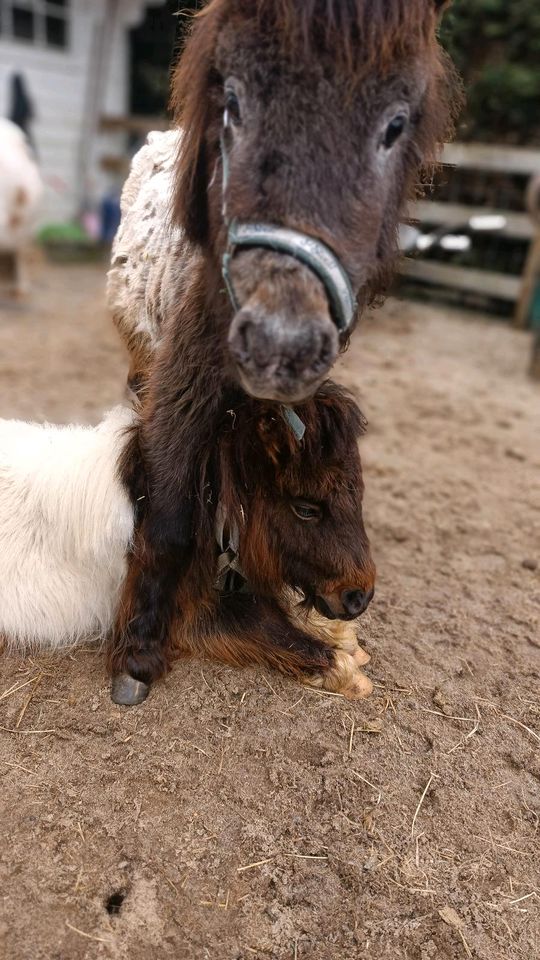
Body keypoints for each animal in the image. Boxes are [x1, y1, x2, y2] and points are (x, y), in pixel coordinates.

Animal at [109, 0, 460, 688]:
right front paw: (140, 651)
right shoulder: (181, 387)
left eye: (396, 124)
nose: (281, 335)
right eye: (233, 101)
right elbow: (170, 509)